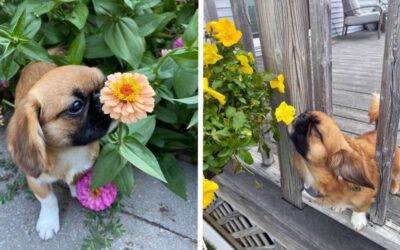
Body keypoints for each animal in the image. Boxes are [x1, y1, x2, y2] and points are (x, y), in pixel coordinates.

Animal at [6, 62, 115, 240]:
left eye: (104, 84)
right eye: (76, 106)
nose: (101, 96)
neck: (69, 150)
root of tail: (34, 62)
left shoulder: (86, 164)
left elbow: (77, 177)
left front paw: (77, 189)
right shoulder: (36, 181)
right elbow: (49, 200)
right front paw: (48, 223)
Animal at [290, 95, 398, 230]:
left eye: (316, 130)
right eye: (306, 113)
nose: (302, 114)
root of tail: (376, 131)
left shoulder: (366, 196)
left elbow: (360, 206)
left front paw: (357, 219)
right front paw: (341, 205)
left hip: (395, 168)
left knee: (395, 178)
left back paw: (394, 188)